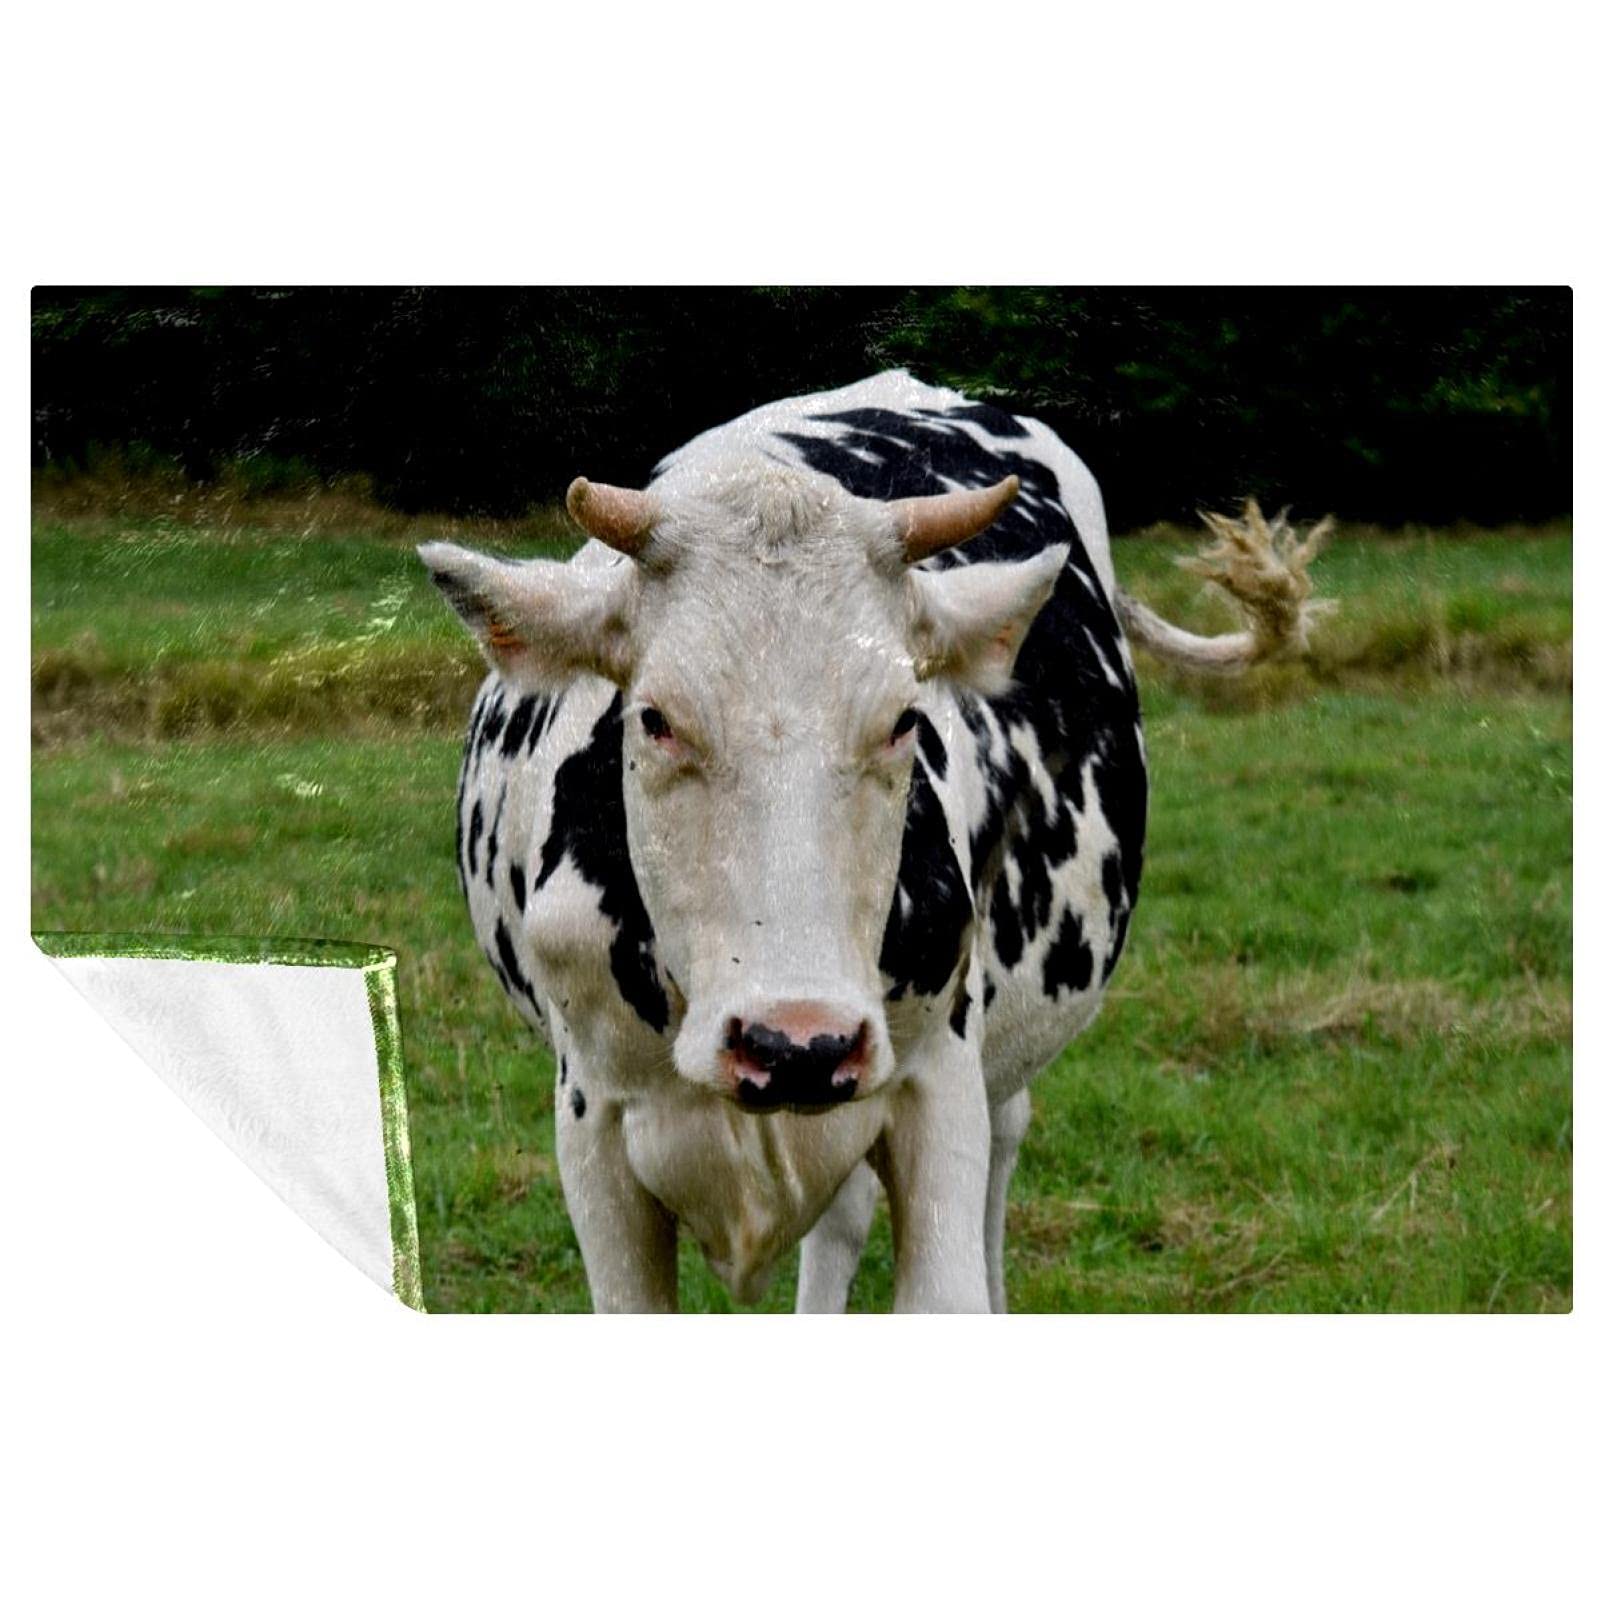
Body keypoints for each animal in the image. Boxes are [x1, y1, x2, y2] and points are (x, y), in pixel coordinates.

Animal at [420, 370, 1328, 1312]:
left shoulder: (938, 1080)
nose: (795, 1043)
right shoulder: (592, 1122)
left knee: (995, 1150)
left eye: (902, 720)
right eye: (655, 719)